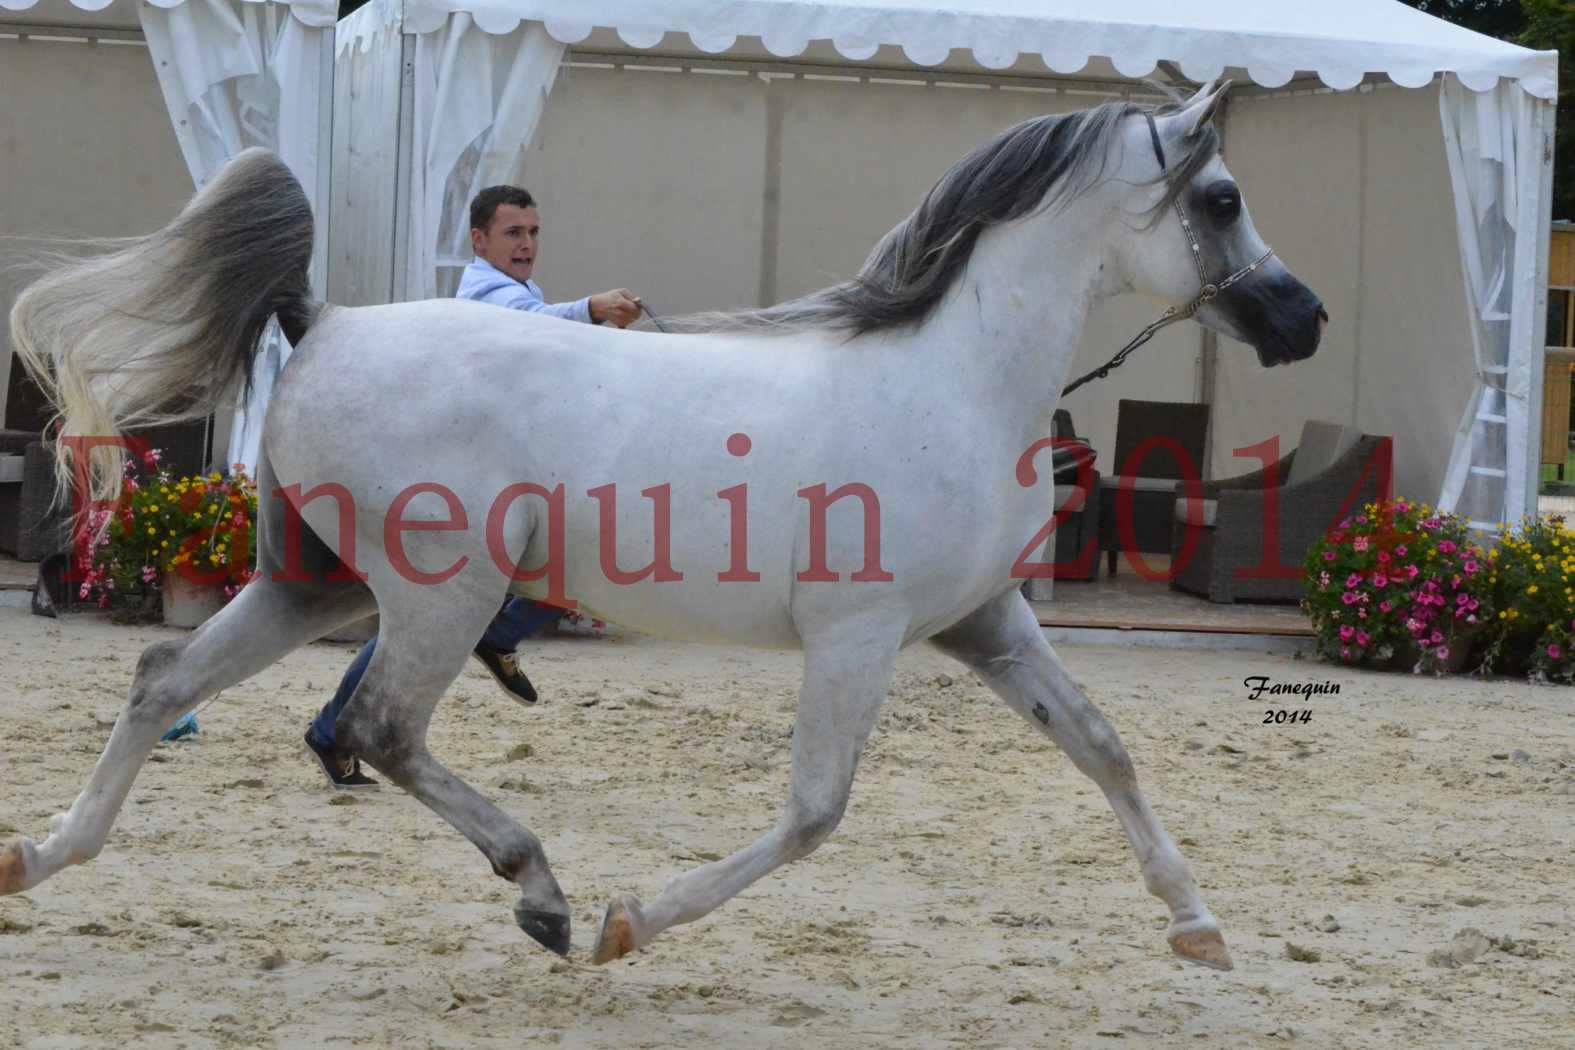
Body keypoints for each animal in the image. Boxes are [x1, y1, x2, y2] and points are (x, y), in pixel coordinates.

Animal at [6, 77, 1323, 976]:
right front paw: (626, 924)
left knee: (165, 676)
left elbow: (1102, 746)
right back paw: (539, 891)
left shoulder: (986, 621)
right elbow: (814, 813)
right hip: (441, 594)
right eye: (1221, 198)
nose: (1300, 317)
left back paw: (42, 857)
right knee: (378, 728)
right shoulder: (860, 637)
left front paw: (1198, 925)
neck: (950, 380)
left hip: (311, 582)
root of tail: (320, 317)